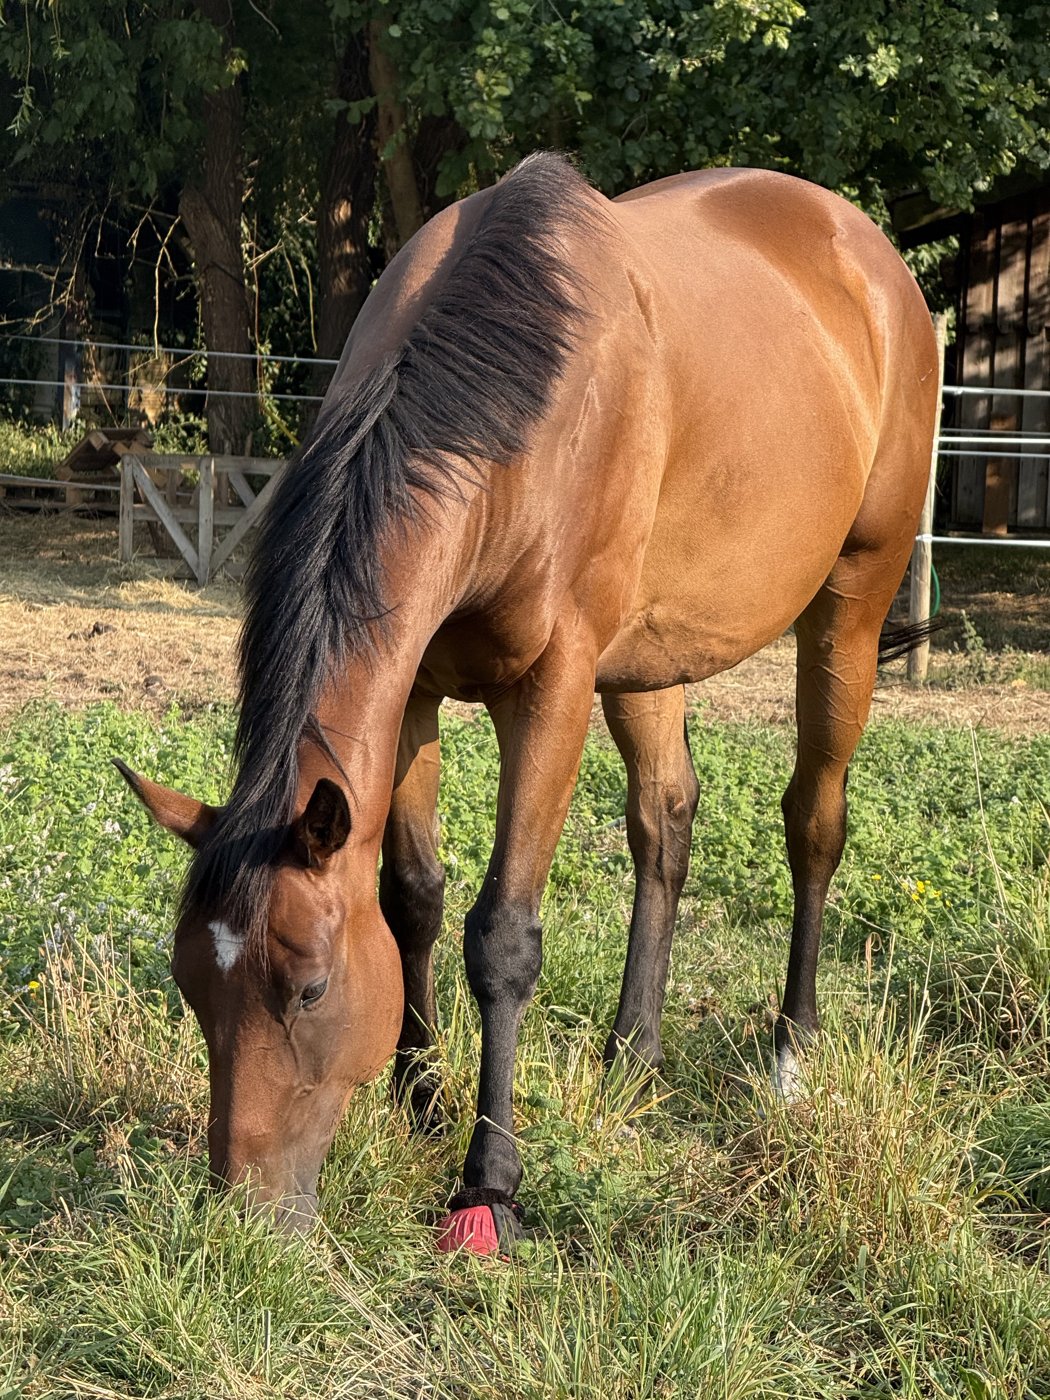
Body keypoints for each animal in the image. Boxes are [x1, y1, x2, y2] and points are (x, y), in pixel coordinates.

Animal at [116, 153, 939, 1249]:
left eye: (309, 989)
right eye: (190, 985)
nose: (245, 1217)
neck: (517, 397)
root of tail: (868, 253)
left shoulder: (552, 685)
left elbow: (503, 933)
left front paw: (487, 1185)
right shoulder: (415, 689)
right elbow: (411, 897)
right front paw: (419, 1101)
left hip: (851, 602)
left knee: (814, 819)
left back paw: (790, 1057)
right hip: (649, 660)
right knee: (664, 823)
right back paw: (632, 1057)